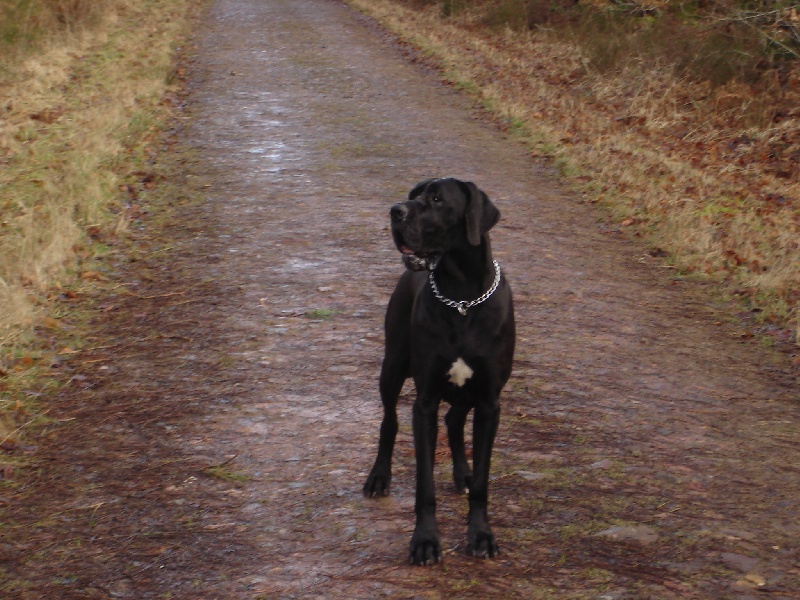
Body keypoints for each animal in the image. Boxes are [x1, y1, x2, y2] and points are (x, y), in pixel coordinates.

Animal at [364, 176, 516, 564]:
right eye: (413, 194)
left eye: (436, 199)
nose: (396, 210)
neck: (461, 296)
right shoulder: (426, 401)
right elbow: (425, 483)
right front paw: (425, 541)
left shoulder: (490, 402)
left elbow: (483, 480)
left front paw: (480, 535)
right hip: (392, 366)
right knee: (390, 422)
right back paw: (379, 477)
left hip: (467, 393)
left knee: (455, 420)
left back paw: (462, 474)